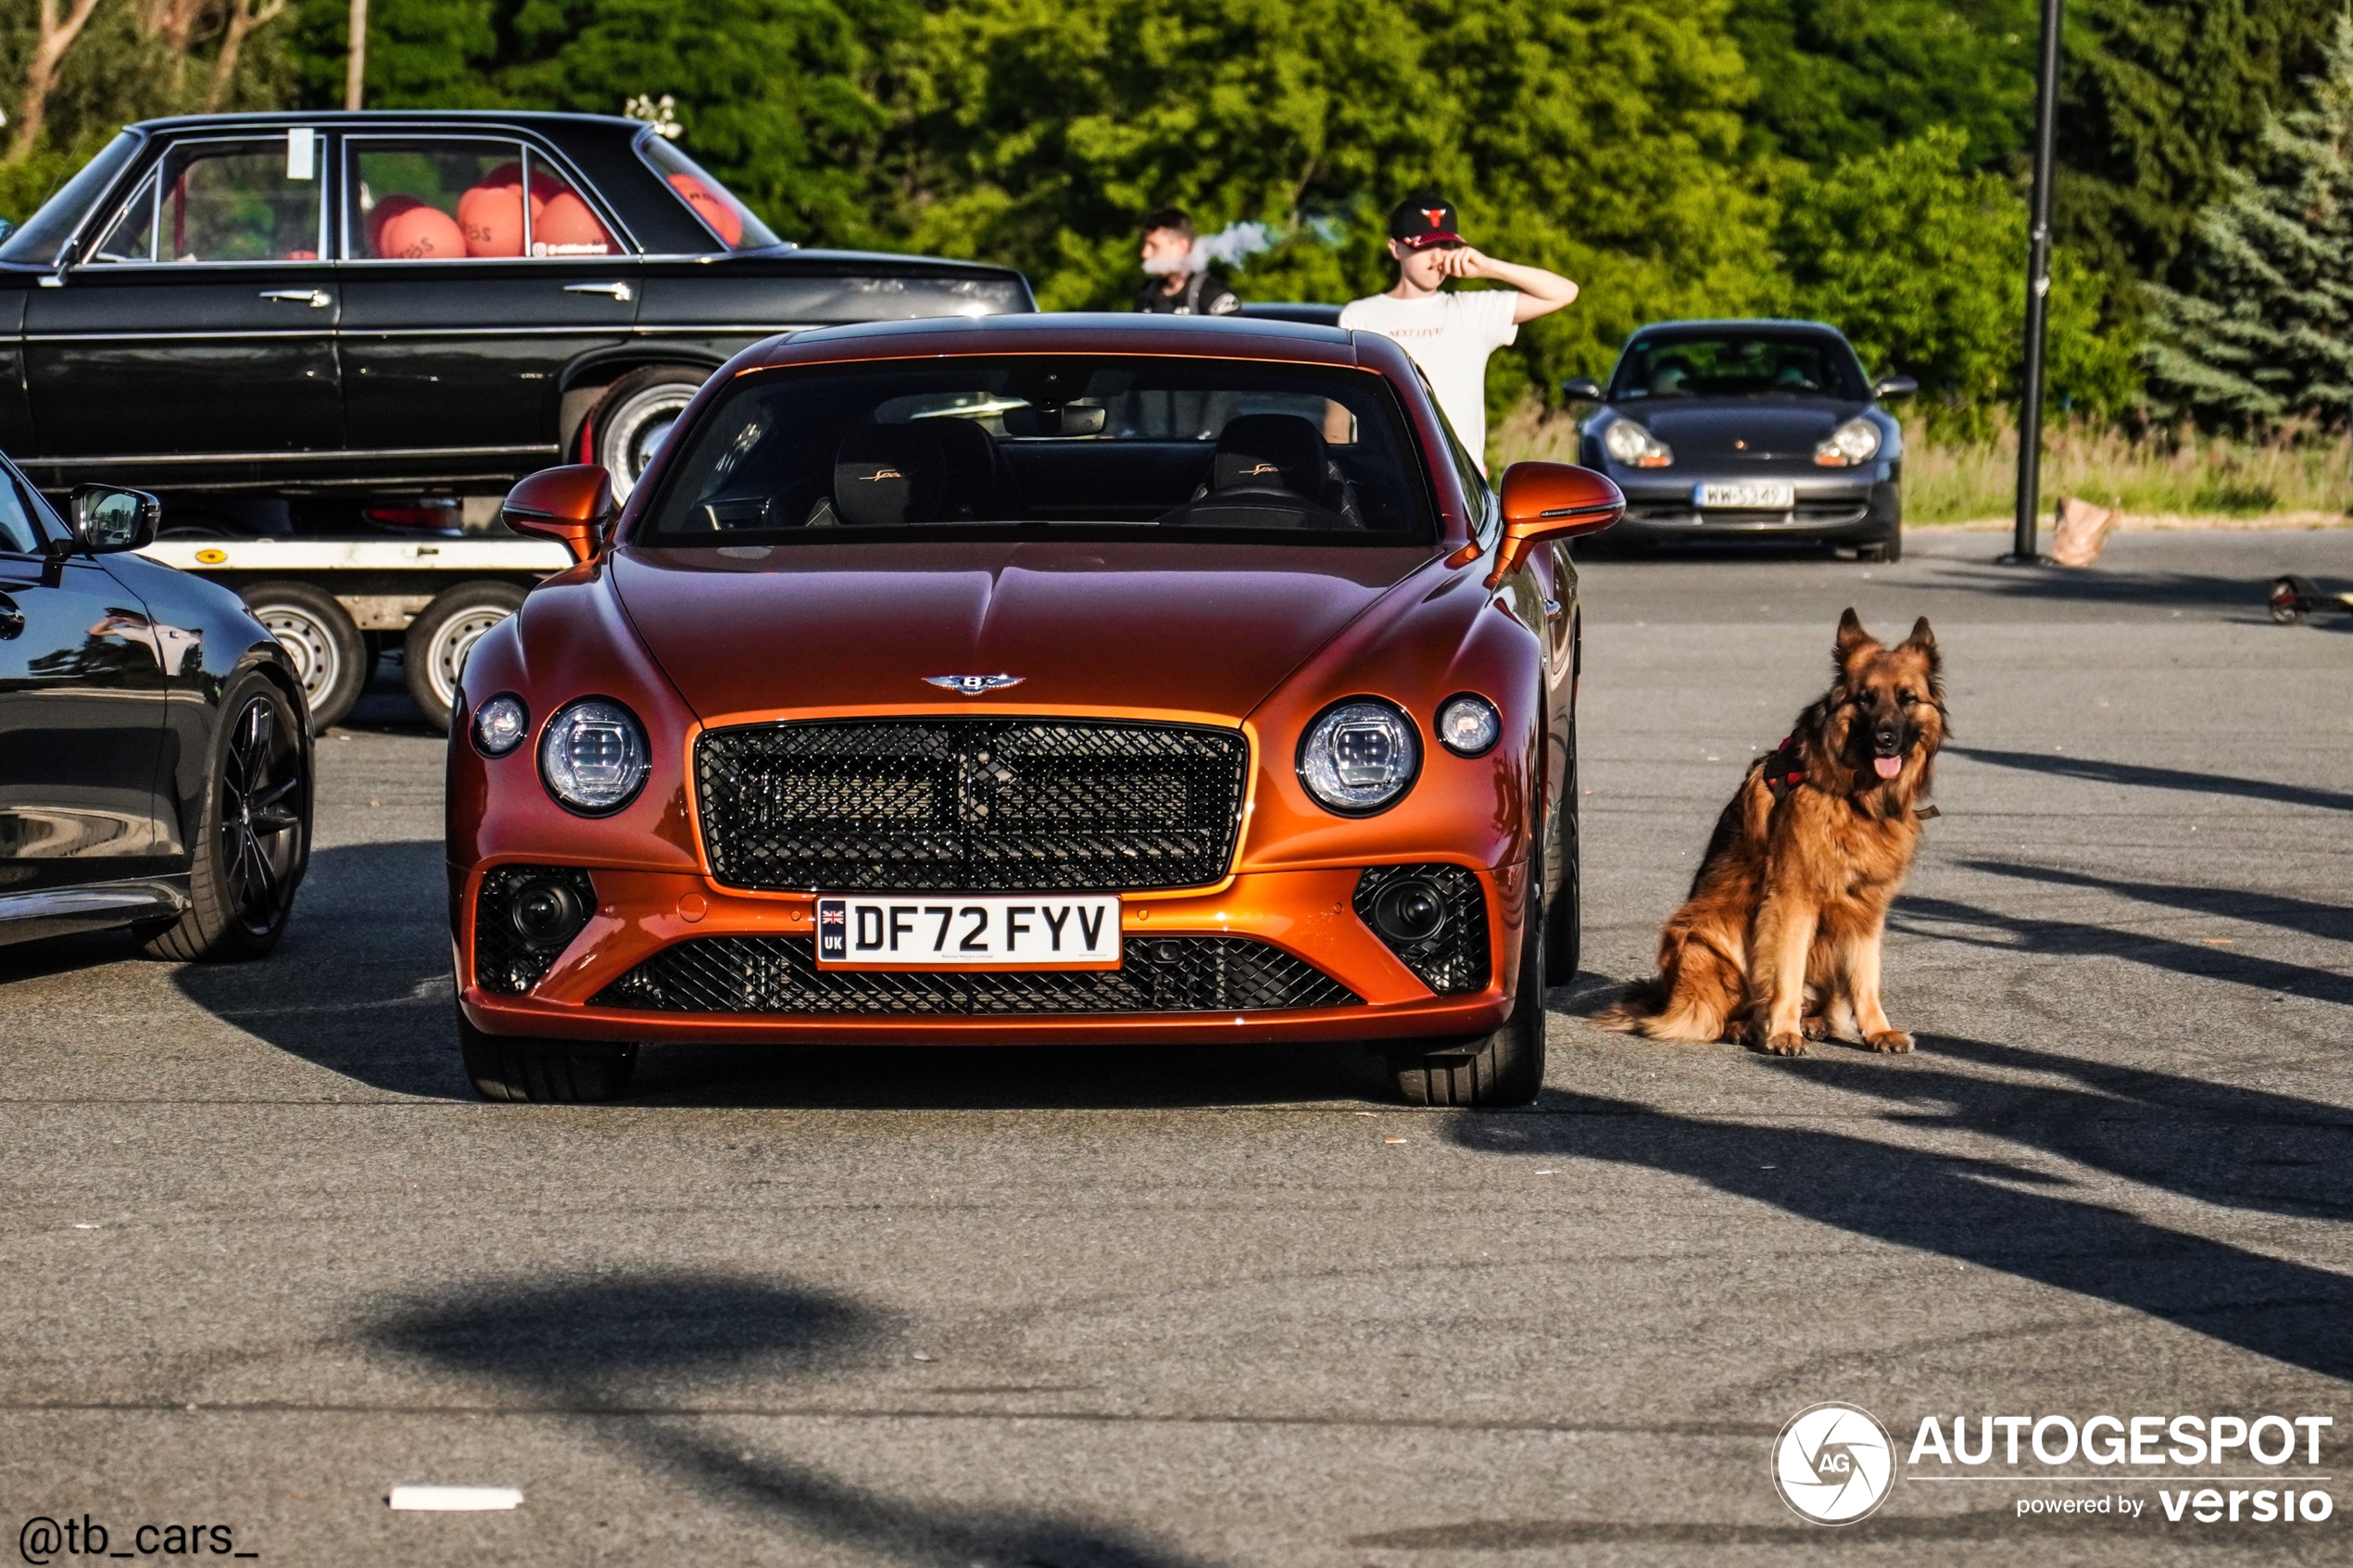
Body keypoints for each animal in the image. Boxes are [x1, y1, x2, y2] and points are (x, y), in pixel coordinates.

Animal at [1600, 610, 1948, 1053]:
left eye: (1907, 698)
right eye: (1866, 698)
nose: (1885, 740)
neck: (1852, 796)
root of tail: (1666, 997)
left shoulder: (1865, 908)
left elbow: (1866, 977)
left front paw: (1877, 1030)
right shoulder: (1792, 899)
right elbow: (1787, 971)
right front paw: (1783, 1031)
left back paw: (1811, 1020)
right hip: (1702, 935)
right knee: (1721, 1014)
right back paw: (1749, 1026)